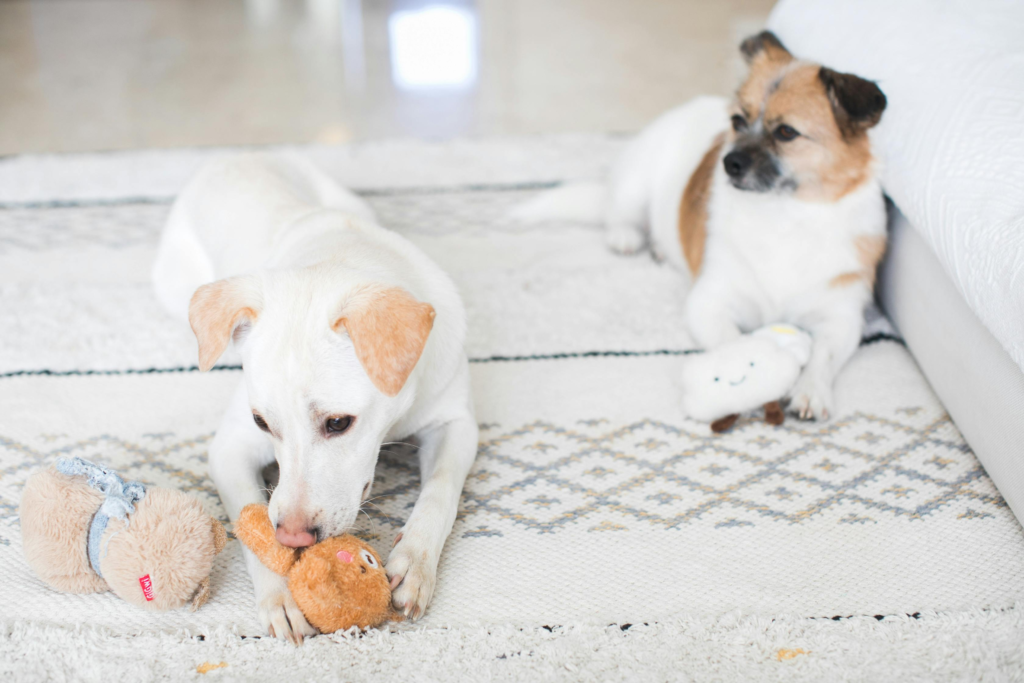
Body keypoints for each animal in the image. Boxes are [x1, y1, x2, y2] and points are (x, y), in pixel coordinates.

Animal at [149, 152, 477, 643]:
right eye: (262, 423)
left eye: (339, 423)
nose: (294, 538)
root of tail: (235, 157)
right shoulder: (229, 447)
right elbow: (250, 520)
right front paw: (280, 595)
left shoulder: (455, 422)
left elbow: (440, 489)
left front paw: (414, 563)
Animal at [516, 31, 884, 421]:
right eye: (737, 121)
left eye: (787, 132)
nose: (729, 163)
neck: (783, 213)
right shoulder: (709, 302)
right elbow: (734, 343)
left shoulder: (842, 319)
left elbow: (822, 355)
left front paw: (810, 389)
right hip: (634, 184)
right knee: (617, 213)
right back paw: (626, 237)